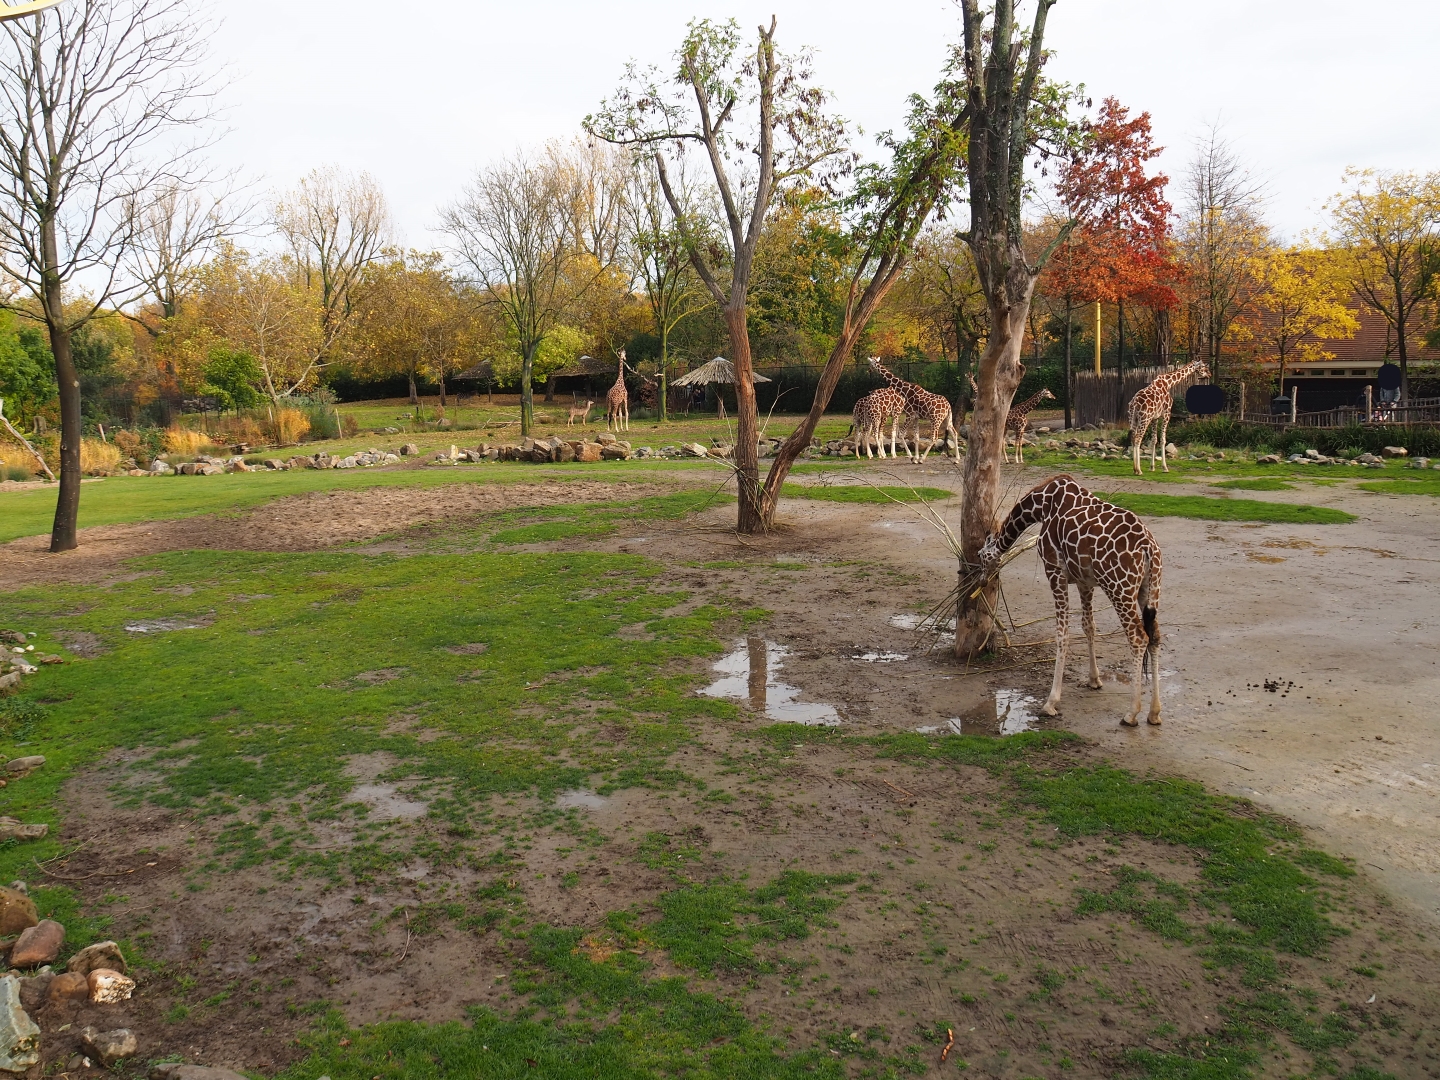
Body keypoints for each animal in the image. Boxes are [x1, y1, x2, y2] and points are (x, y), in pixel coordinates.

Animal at [979, 474, 1163, 727]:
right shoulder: (1086, 581)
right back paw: (1154, 712)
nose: (980, 580)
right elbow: (1089, 626)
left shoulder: (1054, 570)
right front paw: (1094, 680)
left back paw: (1131, 713)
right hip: (1150, 588)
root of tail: (1148, 548)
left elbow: (1062, 633)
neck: (1041, 505)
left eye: (980, 556)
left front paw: (1051, 702)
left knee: (1138, 637)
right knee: (1155, 636)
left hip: (1119, 588)